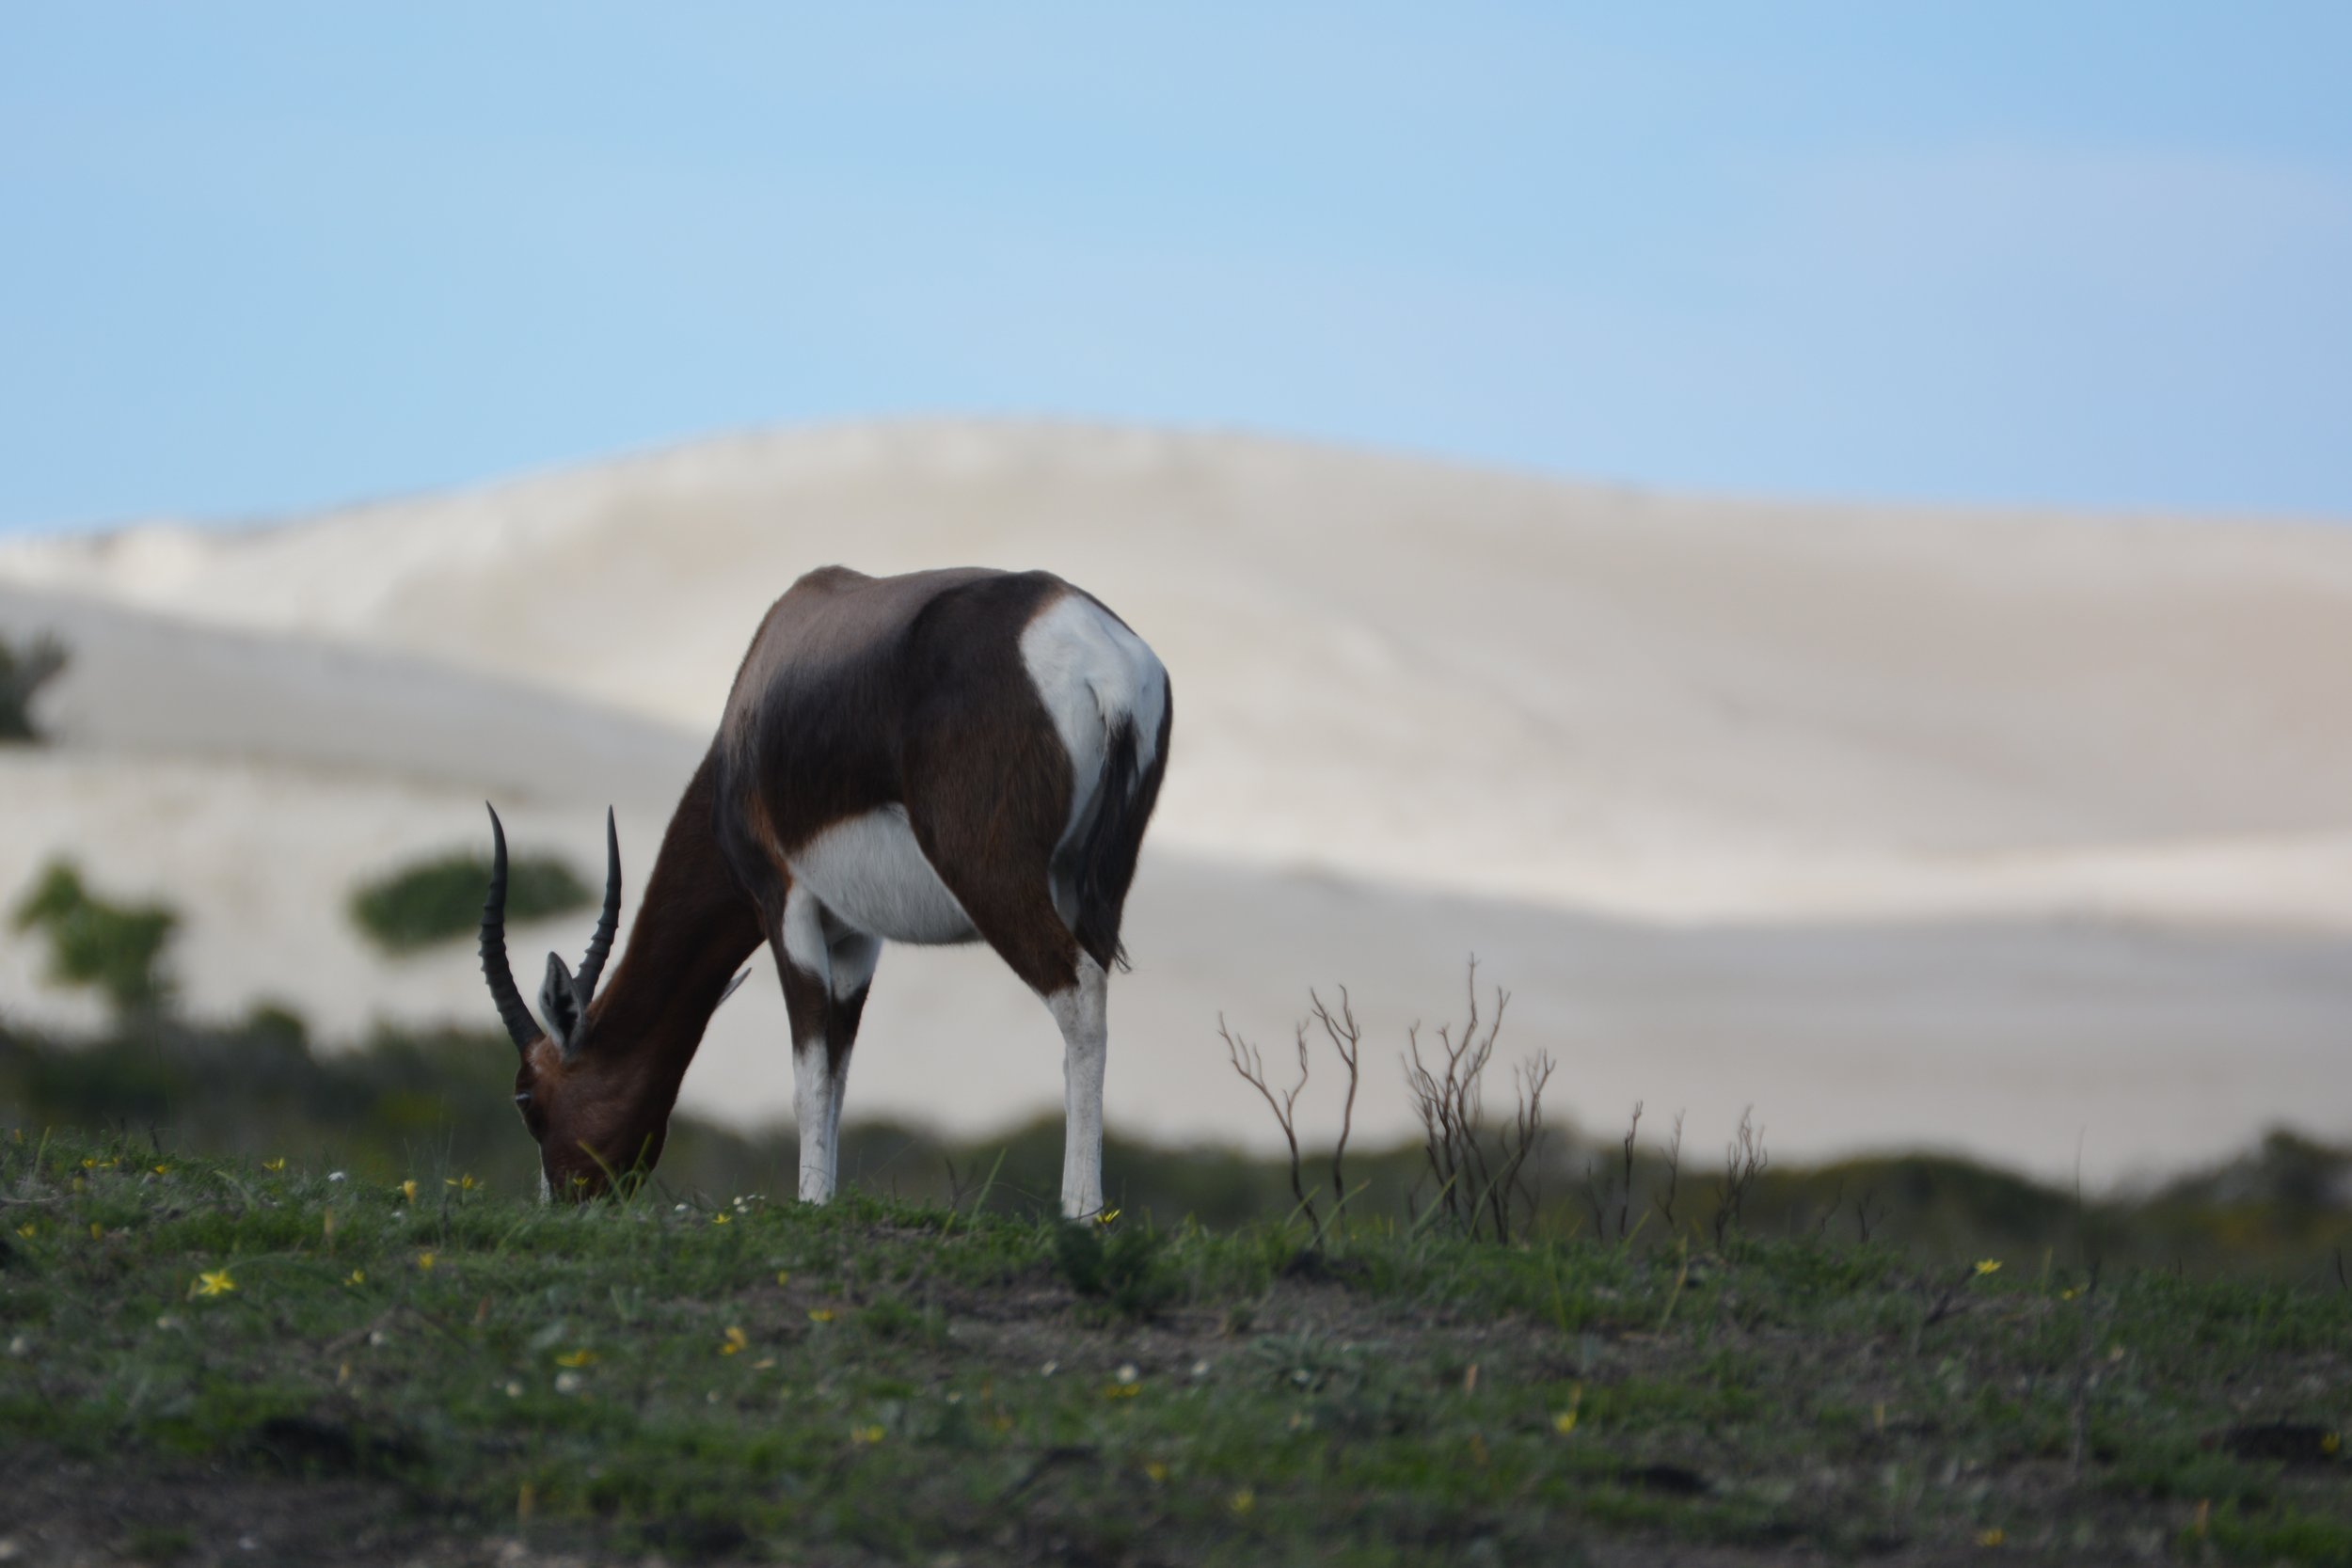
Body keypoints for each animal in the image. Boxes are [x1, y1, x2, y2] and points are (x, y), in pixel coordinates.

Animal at [480, 571, 1176, 1222]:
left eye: (526, 1098)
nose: (564, 1201)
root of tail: (1094, 651)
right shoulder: (857, 937)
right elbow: (839, 1062)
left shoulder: (782, 903)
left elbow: (808, 1068)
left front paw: (811, 1202)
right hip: (1095, 890)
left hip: (991, 879)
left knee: (1078, 992)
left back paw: (1080, 1211)